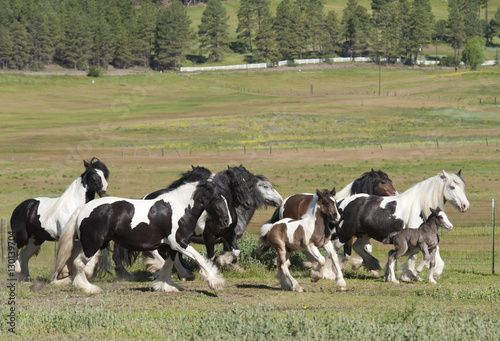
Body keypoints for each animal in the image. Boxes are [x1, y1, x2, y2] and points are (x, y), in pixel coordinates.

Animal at [51, 178, 231, 292]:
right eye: (217, 199)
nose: (227, 221)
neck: (179, 209)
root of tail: (83, 209)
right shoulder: (179, 243)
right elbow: (200, 259)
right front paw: (216, 283)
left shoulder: (171, 246)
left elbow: (168, 265)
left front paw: (166, 286)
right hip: (92, 245)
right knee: (79, 264)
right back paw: (88, 288)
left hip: (95, 245)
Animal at [336, 170, 468, 282]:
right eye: (452, 187)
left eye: (463, 187)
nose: (465, 205)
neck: (420, 206)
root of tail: (343, 202)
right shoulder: (416, 239)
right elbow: (414, 256)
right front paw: (410, 275)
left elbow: (430, 256)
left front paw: (430, 275)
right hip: (344, 235)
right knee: (336, 250)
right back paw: (333, 274)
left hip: (364, 234)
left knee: (357, 247)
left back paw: (372, 265)